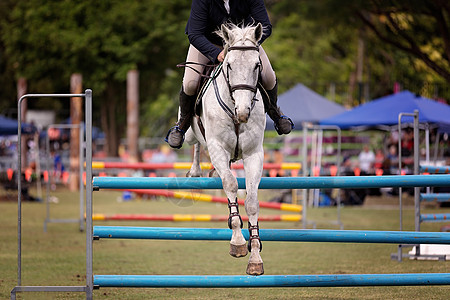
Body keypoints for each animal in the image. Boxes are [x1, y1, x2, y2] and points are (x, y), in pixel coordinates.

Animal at [185, 24, 266, 276]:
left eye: (257, 65)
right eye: (229, 65)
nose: (243, 112)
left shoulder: (253, 154)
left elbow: (252, 201)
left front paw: (255, 257)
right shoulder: (218, 148)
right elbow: (230, 184)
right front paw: (238, 243)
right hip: (191, 133)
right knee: (194, 142)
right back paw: (195, 171)